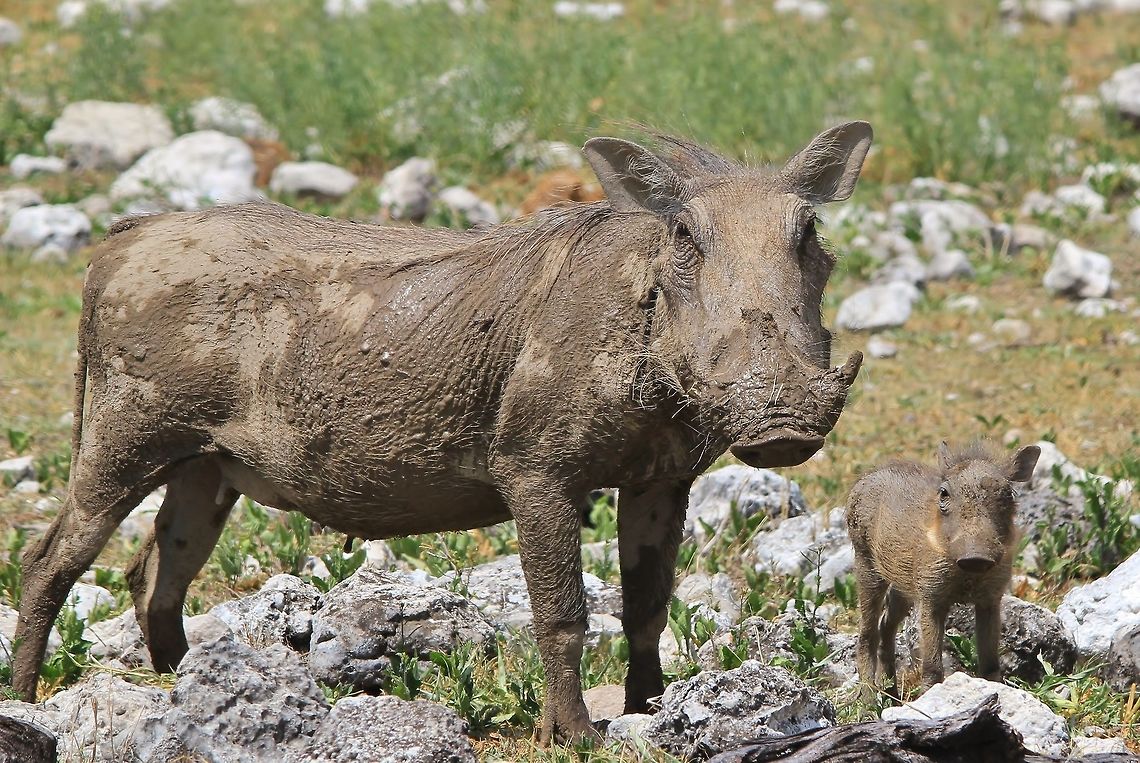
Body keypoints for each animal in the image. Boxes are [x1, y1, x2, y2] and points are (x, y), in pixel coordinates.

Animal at [13, 123, 873, 742]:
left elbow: (646, 607)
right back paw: (25, 701)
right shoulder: (538, 473)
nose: (783, 425)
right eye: (686, 234)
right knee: (51, 560)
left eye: (808, 231)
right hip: (122, 441)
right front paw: (576, 734)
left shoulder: (661, 479)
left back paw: (191, 687)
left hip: (205, 467)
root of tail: (126, 236)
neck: (635, 314)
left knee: (156, 573)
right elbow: (562, 613)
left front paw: (652, 710)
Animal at [846, 441, 1041, 690]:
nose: (976, 557)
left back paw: (891, 693)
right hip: (866, 565)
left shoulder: (989, 600)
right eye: (944, 492)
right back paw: (869, 697)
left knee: (886, 626)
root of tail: (867, 477)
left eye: (1008, 493)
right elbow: (932, 667)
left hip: (902, 587)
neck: (967, 576)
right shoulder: (931, 598)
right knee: (867, 634)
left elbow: (990, 664)